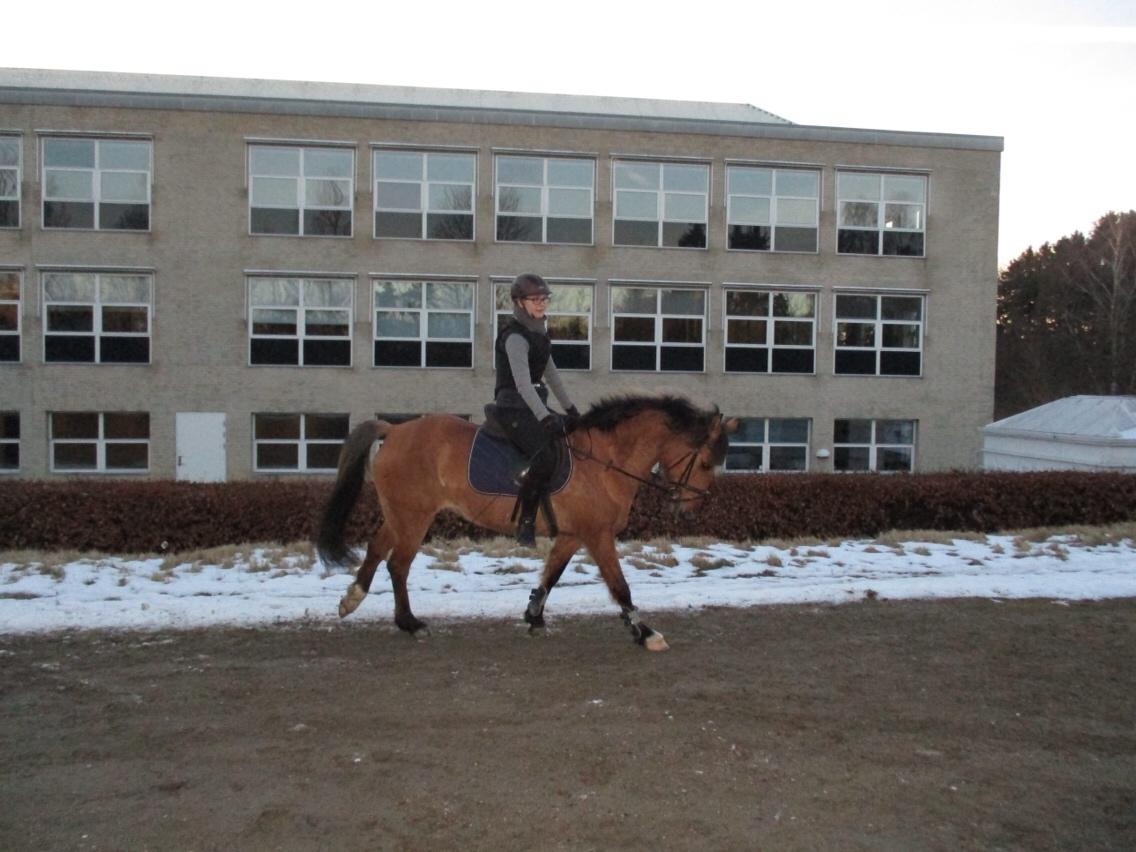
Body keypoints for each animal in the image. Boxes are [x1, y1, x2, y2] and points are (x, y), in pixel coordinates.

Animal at [315, 395, 731, 654]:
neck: (605, 460)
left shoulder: (573, 534)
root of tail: (395, 429)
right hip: (415, 516)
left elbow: (551, 575)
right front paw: (645, 633)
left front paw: (534, 616)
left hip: (401, 514)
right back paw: (410, 623)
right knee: (398, 565)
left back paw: (352, 599)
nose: (689, 509)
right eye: (705, 462)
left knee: (376, 549)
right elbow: (620, 586)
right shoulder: (597, 535)